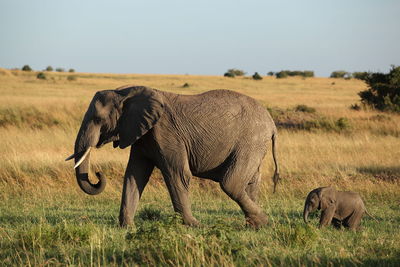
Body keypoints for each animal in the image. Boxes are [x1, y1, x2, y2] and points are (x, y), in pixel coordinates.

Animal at [65, 86, 280, 230]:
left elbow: (177, 174)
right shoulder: (142, 134)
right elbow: (134, 175)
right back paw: (253, 225)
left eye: (98, 120)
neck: (126, 92)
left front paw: (193, 225)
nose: (98, 173)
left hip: (250, 141)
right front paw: (127, 227)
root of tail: (272, 123)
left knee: (231, 183)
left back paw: (263, 222)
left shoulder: (165, 133)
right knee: (250, 182)